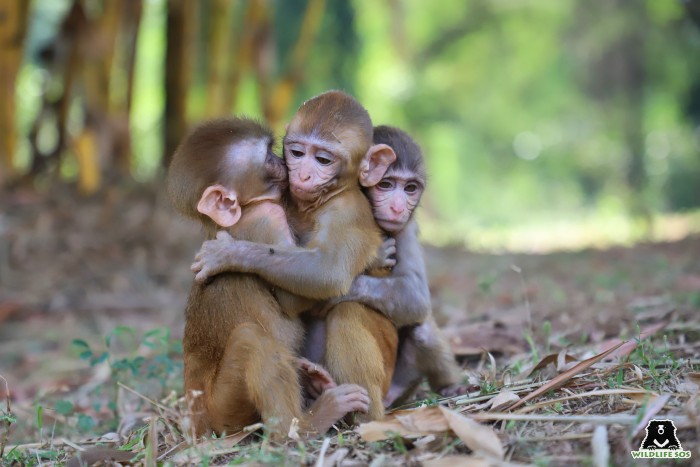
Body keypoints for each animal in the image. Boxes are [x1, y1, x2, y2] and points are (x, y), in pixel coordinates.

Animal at [168, 117, 372, 438]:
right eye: (267, 159)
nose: (285, 164)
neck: (243, 210)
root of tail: (196, 425)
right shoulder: (267, 216)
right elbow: (296, 297)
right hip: (222, 413)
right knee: (253, 340)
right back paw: (302, 426)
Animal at [191, 91, 400, 420]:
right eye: (297, 153)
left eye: (324, 160)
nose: (301, 175)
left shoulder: (347, 212)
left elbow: (326, 275)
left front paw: (226, 253)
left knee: (345, 311)